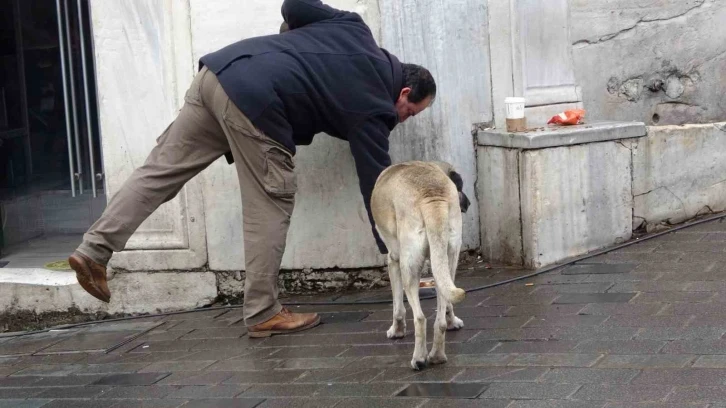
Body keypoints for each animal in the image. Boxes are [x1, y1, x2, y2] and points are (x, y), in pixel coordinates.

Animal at [372, 160, 470, 370]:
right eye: (460, 187)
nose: (468, 203)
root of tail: (432, 196)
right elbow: (447, 304)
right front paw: (453, 321)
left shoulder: (393, 260)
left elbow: (397, 306)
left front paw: (396, 330)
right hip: (448, 259)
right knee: (440, 317)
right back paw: (437, 355)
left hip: (408, 267)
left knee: (420, 318)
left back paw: (419, 358)